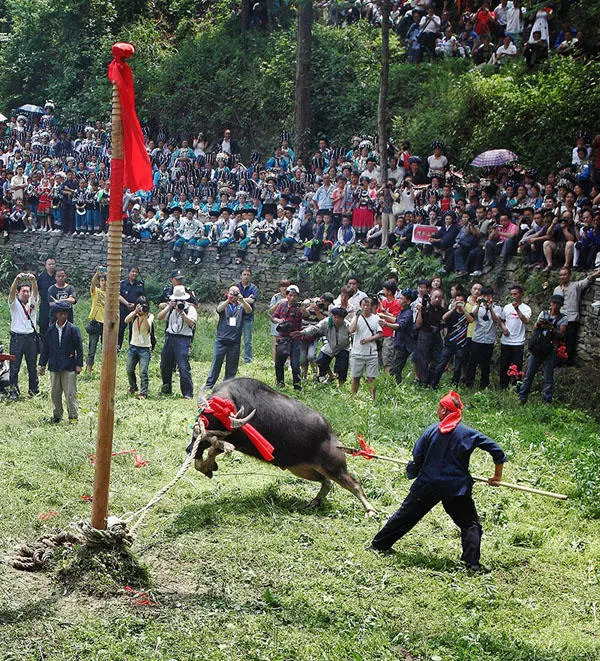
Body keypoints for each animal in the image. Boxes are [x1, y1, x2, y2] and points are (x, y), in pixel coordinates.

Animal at [189, 376, 376, 516]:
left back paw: (371, 511)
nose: (189, 448)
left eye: (218, 425)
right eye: (202, 419)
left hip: (334, 466)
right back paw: (314, 501)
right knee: (327, 482)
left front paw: (208, 465)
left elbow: (214, 449)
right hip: (303, 469)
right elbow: (207, 454)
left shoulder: (238, 441)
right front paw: (207, 467)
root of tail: (334, 438)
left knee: (354, 483)